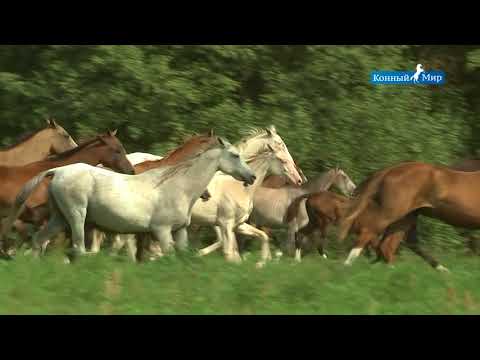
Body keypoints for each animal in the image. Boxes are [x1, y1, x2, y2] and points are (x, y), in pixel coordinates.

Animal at [10, 136, 255, 258]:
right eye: (235, 155)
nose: (251, 177)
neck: (178, 186)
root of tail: (58, 171)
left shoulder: (180, 231)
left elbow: (181, 256)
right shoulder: (162, 231)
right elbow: (166, 256)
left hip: (59, 218)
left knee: (39, 240)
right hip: (76, 216)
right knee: (77, 248)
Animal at [338, 162, 480, 272]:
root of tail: (389, 170)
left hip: (405, 219)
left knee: (389, 246)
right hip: (391, 214)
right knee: (369, 234)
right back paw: (347, 267)